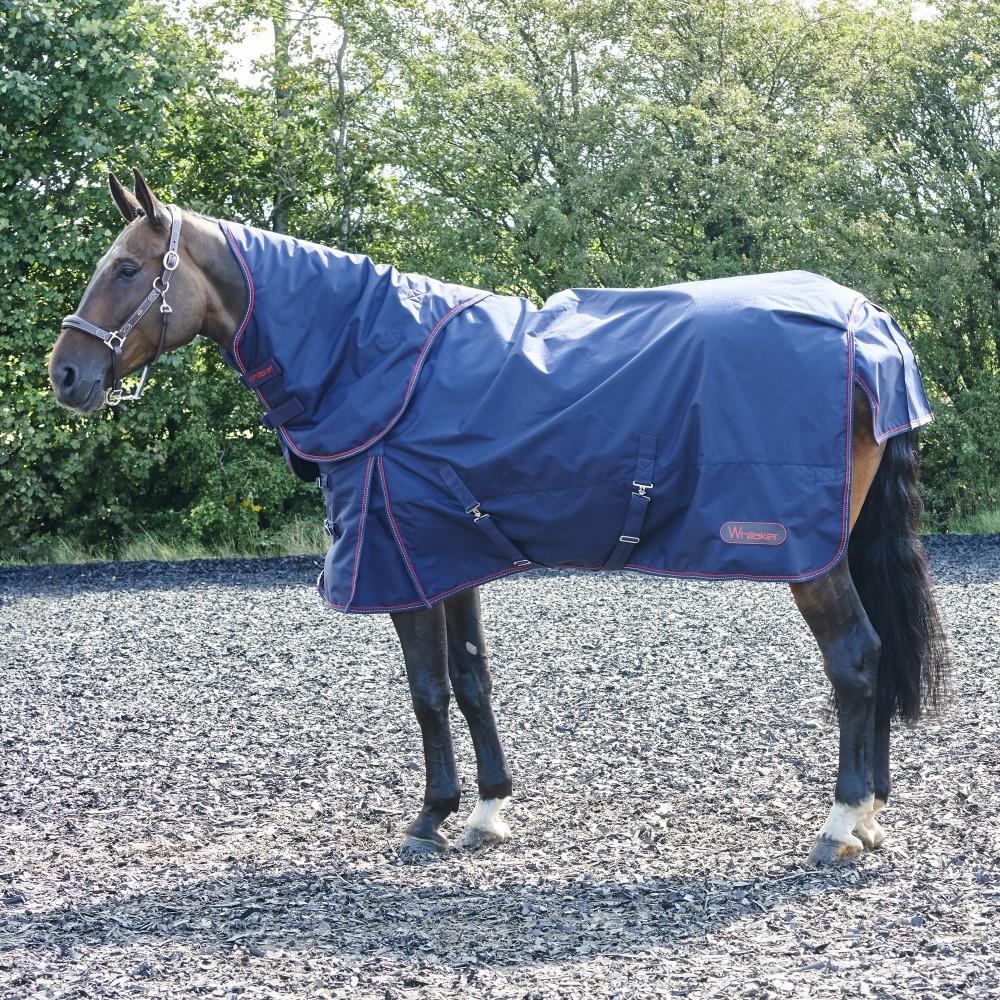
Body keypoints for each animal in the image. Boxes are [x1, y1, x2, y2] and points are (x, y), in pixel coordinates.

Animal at [49, 170, 949, 865]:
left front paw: (429, 818)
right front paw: (488, 809)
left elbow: (426, 690)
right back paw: (872, 815)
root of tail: (869, 323)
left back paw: (841, 821)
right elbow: (473, 679)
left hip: (807, 553)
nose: (64, 374)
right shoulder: (446, 553)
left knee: (856, 659)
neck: (376, 362)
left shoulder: (397, 562)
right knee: (877, 655)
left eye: (126, 269)